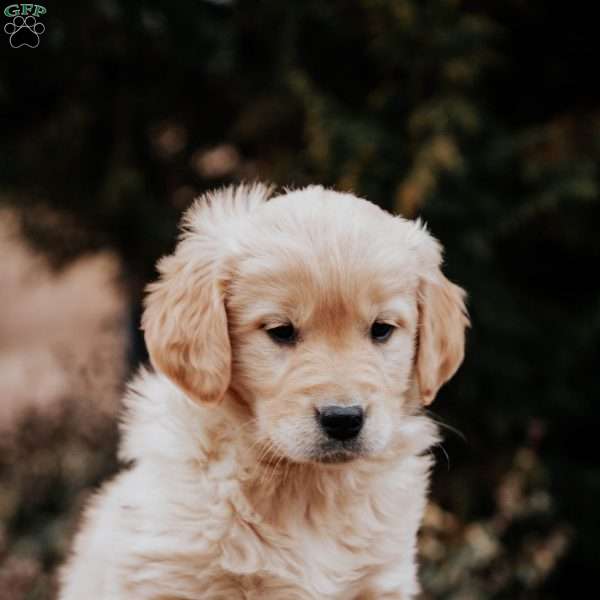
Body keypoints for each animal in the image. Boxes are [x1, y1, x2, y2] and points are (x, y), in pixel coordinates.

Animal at [59, 184, 468, 600]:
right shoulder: (165, 575)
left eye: (382, 329)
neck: (308, 486)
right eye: (281, 331)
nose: (343, 419)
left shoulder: (380, 581)